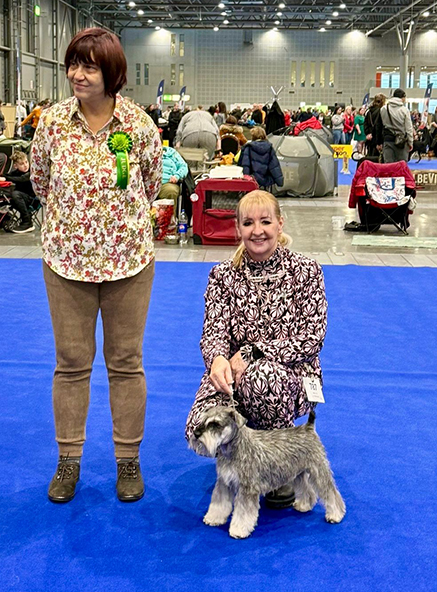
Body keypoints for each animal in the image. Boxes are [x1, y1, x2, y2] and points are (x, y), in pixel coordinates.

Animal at [191, 406, 346, 539]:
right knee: (306, 490)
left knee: (330, 492)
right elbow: (219, 503)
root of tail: (308, 427)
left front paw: (238, 530)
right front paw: (213, 518)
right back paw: (304, 505)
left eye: (215, 424)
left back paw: (335, 515)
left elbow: (243, 512)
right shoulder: (224, 483)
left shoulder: (247, 489)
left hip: (318, 470)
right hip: (297, 473)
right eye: (203, 419)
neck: (233, 448)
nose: (196, 434)